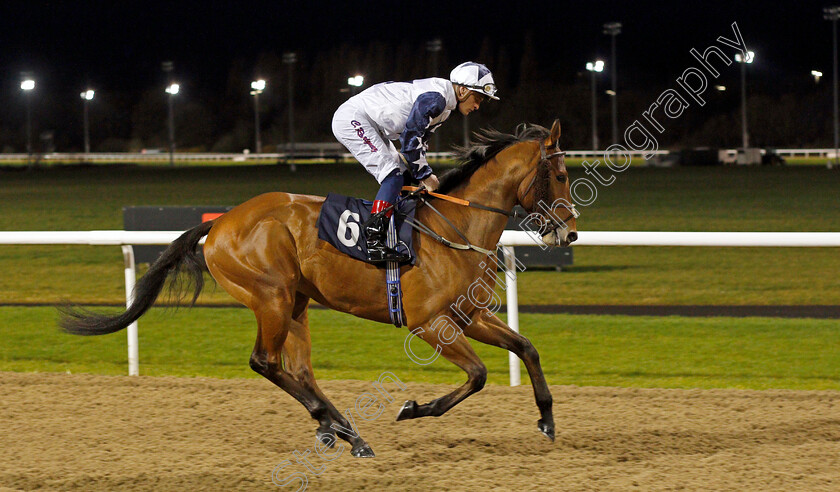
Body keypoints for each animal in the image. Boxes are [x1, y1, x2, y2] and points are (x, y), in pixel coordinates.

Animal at [62, 119, 576, 458]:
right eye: (561, 174)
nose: (569, 233)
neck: (455, 227)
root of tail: (220, 223)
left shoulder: (471, 316)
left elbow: (526, 347)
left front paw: (548, 420)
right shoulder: (430, 323)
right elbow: (478, 374)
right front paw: (413, 408)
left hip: (296, 302)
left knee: (299, 370)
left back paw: (342, 429)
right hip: (270, 296)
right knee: (265, 362)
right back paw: (343, 429)